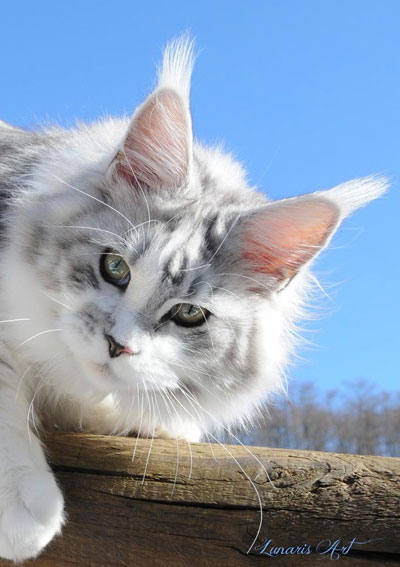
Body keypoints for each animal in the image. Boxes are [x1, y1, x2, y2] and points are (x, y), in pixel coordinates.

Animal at [0, 36, 388, 564]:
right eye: (114, 268)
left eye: (188, 314)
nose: (117, 346)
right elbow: (5, 390)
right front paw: (24, 509)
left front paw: (157, 422)